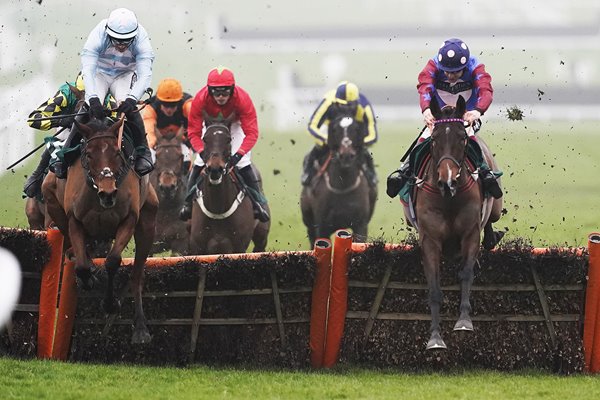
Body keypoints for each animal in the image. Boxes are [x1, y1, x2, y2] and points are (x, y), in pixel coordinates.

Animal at [42, 115, 159, 344]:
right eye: (88, 154)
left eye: (116, 153)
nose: (108, 193)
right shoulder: (74, 220)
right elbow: (82, 266)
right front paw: (88, 279)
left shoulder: (129, 219)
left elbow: (112, 261)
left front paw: (111, 303)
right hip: (52, 201)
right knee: (77, 251)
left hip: (148, 223)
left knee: (137, 276)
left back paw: (141, 328)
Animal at [189, 117, 270, 255]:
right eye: (205, 139)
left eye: (228, 139)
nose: (215, 169)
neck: (218, 208)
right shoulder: (198, 248)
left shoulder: (238, 247)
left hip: (261, 236)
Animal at [302, 112, 378, 248]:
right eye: (334, 129)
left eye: (356, 129)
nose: (346, 155)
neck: (343, 186)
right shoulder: (321, 227)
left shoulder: (360, 226)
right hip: (309, 223)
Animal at [410, 97, 504, 350]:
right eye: (434, 139)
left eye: (462, 137)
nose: (448, 180)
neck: (448, 199)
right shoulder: (430, 240)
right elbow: (434, 289)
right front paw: (435, 337)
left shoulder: (470, 234)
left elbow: (466, 274)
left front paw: (463, 321)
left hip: (496, 208)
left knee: (491, 222)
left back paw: (492, 238)